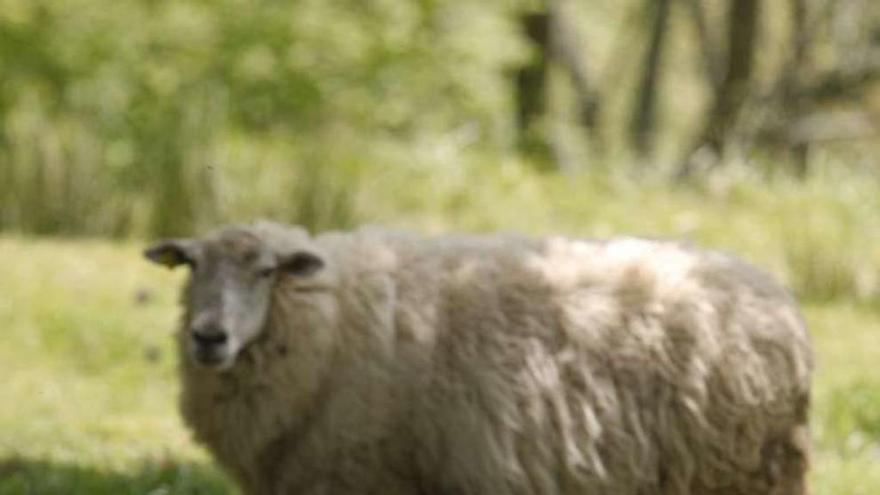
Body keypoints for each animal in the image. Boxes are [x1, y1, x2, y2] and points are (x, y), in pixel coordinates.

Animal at [143, 222, 812, 495]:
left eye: (265, 271)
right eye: (191, 265)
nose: (208, 337)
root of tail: (776, 297)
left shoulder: (364, 475)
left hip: (741, 475)